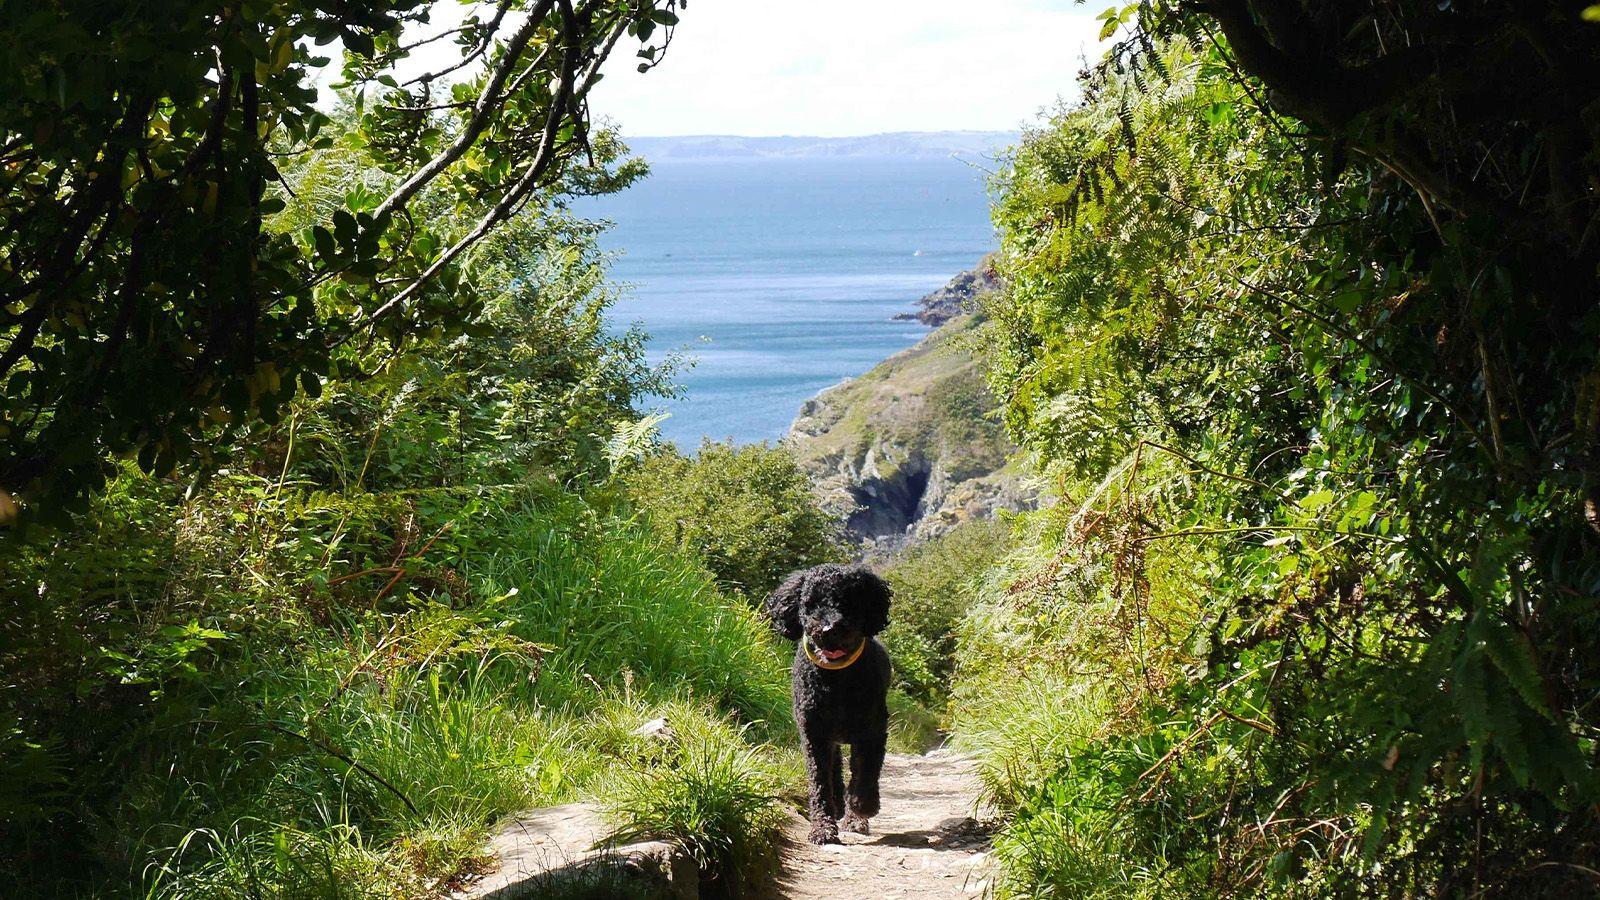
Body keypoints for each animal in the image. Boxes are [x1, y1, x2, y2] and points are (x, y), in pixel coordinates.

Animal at [758, 560, 889, 839]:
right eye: (810, 603)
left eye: (848, 601)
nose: (829, 629)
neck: (836, 679)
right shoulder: (814, 734)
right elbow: (819, 780)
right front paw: (823, 827)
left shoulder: (872, 731)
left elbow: (866, 772)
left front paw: (862, 806)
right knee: (835, 770)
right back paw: (839, 805)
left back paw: (854, 815)